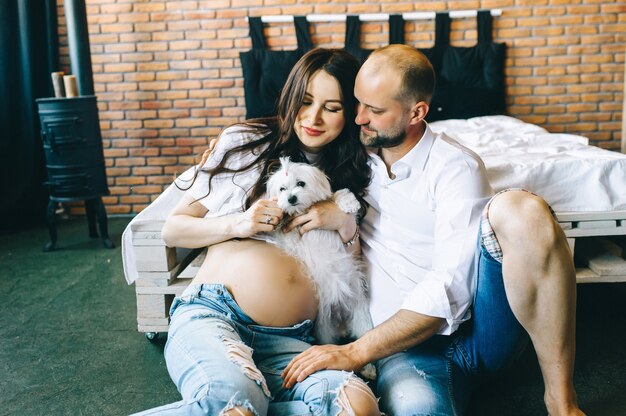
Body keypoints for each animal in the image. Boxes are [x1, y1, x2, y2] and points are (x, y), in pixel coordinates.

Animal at [264, 156, 370, 344]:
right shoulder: (291, 238)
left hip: (359, 310)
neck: (303, 209)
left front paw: (349, 203)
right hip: (324, 326)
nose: (291, 198)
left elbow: (340, 195)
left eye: (301, 183)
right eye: (282, 189)